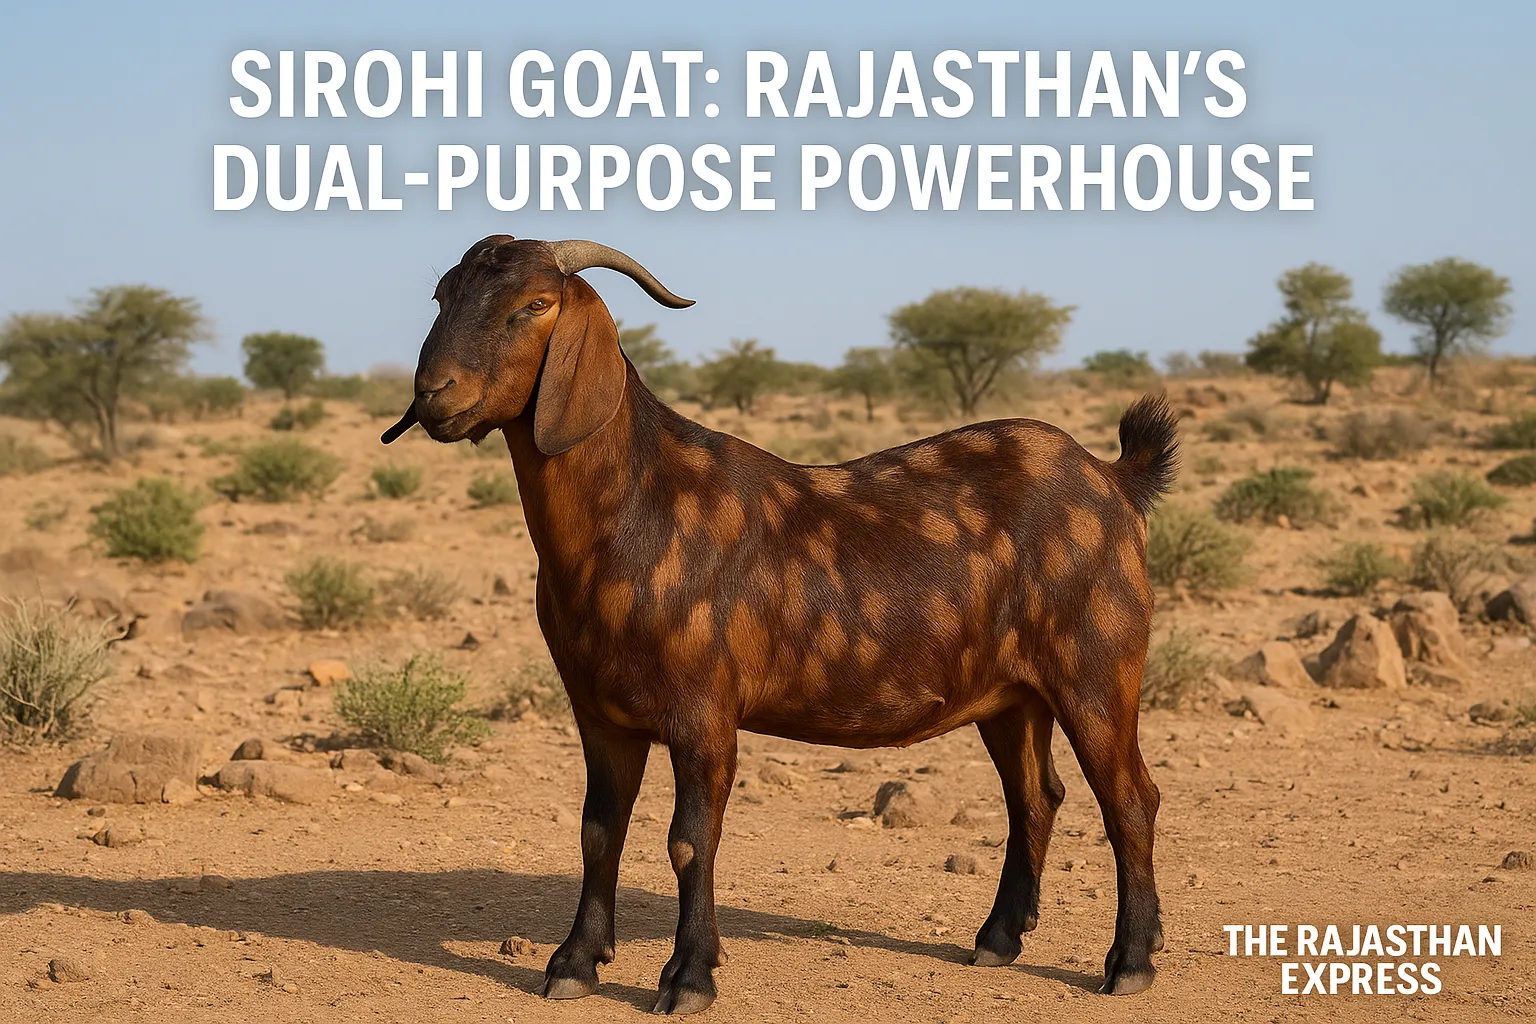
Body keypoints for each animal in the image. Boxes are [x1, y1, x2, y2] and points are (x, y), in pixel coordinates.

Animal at [383, 235, 1178, 1014]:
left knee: (1130, 799)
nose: (433, 394)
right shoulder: (598, 713)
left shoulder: (703, 710)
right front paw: (574, 963)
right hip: (1012, 697)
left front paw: (688, 977)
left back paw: (1130, 961)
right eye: (443, 294)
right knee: (1034, 797)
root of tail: (1113, 479)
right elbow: (597, 834)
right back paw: (999, 938)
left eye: (535, 305)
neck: (637, 508)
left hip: (1097, 672)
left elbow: (689, 841)